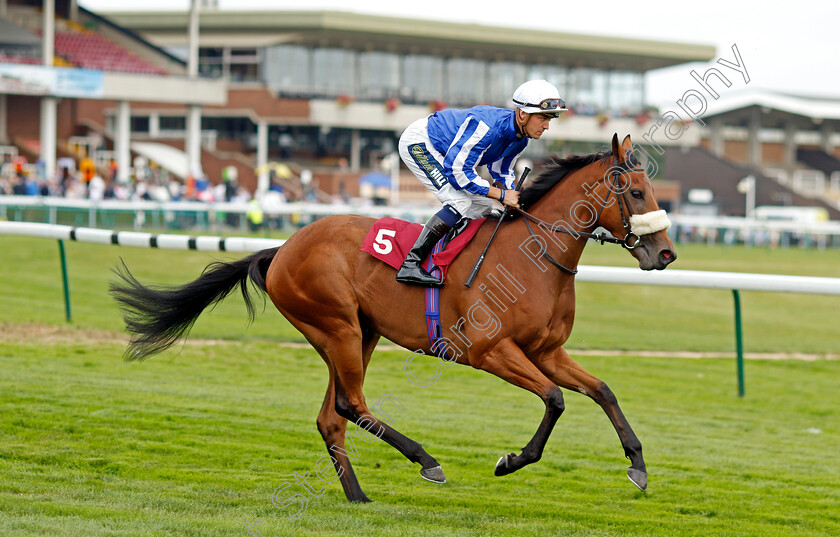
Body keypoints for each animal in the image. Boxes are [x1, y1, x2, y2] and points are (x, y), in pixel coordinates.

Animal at [111, 134, 676, 502]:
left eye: (651, 189)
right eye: (634, 192)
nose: (666, 254)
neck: (533, 257)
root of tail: (283, 248)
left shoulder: (546, 351)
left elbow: (602, 390)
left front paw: (638, 466)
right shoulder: (490, 352)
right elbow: (556, 400)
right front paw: (511, 460)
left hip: (360, 333)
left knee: (331, 415)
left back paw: (357, 496)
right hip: (336, 326)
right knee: (349, 402)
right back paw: (426, 461)